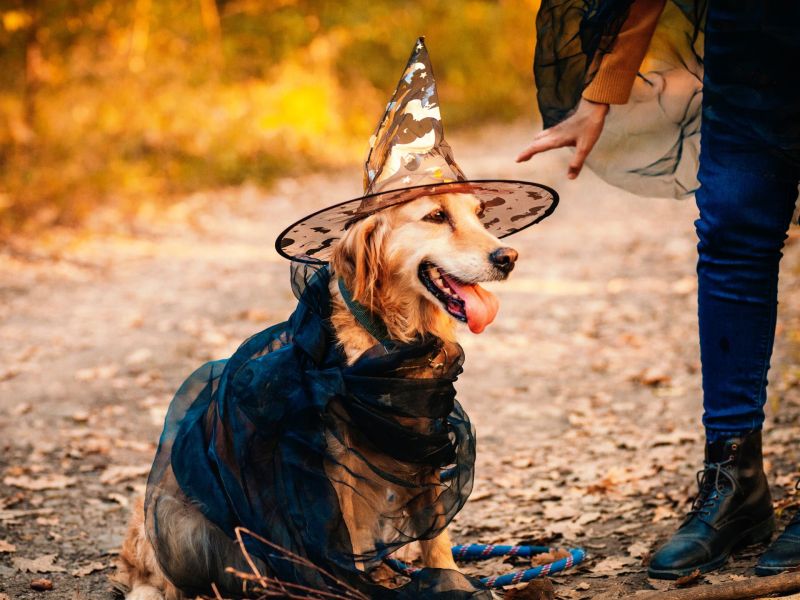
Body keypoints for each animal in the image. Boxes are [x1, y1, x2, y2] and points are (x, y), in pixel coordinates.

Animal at [117, 191, 520, 596]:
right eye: (436, 216)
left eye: (479, 214)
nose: (508, 257)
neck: (389, 344)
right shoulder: (336, 471)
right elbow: (345, 547)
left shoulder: (422, 447)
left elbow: (436, 540)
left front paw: (450, 581)